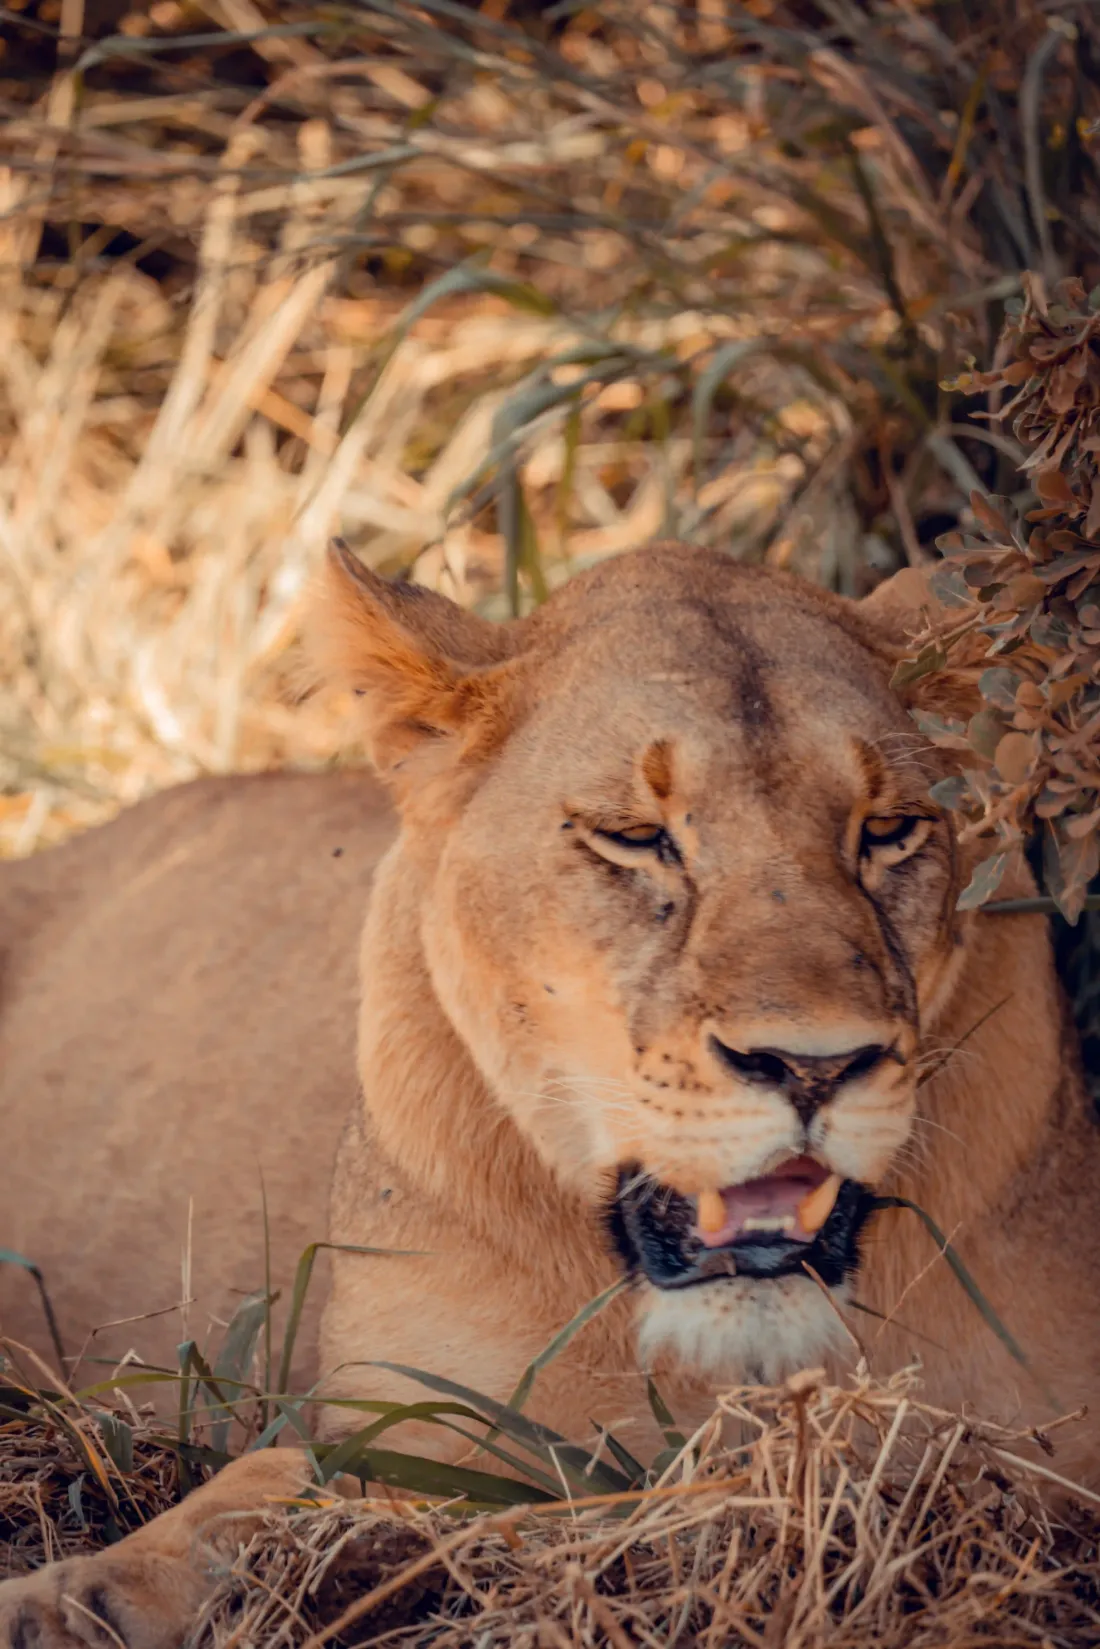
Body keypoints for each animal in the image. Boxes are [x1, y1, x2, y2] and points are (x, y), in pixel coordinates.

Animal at [1, 541, 1095, 1648]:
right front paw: (83, 1597)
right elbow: (284, 1476)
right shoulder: (424, 1418)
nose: (815, 1065)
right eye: (633, 835)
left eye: (890, 828)